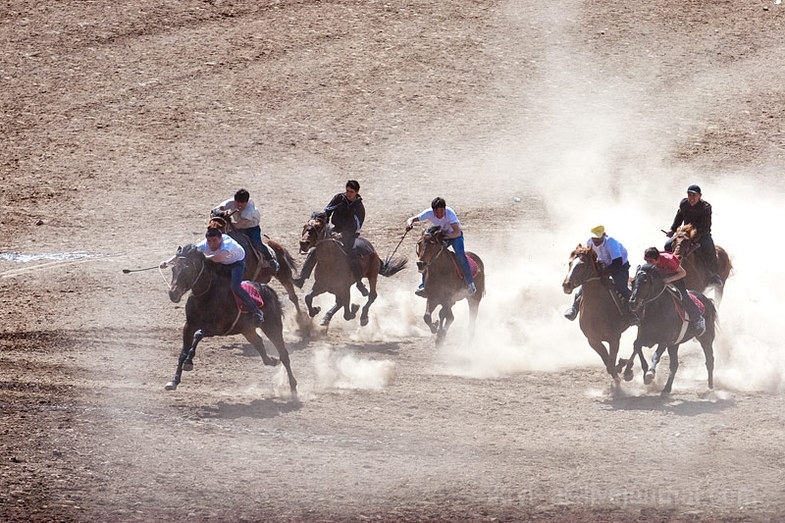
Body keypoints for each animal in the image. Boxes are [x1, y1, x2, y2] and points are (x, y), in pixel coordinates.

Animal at [163, 246, 298, 398]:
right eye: (174, 269)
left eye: (188, 270)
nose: (173, 294)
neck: (207, 294)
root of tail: (270, 291)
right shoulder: (188, 326)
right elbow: (183, 352)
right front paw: (174, 381)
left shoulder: (217, 328)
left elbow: (198, 335)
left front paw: (188, 362)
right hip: (247, 330)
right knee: (259, 342)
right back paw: (272, 360)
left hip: (273, 327)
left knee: (284, 354)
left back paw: (293, 389)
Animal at [556, 244, 636, 382]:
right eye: (570, 263)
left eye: (582, 265)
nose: (566, 285)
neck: (597, 308)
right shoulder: (593, 340)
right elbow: (608, 364)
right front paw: (619, 369)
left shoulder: (614, 339)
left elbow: (611, 364)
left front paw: (621, 366)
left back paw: (628, 369)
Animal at [620, 264, 712, 396]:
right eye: (632, 282)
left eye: (645, 281)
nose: (632, 303)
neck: (657, 310)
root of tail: (708, 300)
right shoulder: (644, 337)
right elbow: (636, 347)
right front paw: (629, 372)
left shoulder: (665, 341)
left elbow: (655, 355)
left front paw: (650, 373)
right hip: (674, 345)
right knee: (674, 365)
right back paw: (667, 389)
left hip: (706, 338)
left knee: (709, 361)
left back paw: (710, 387)